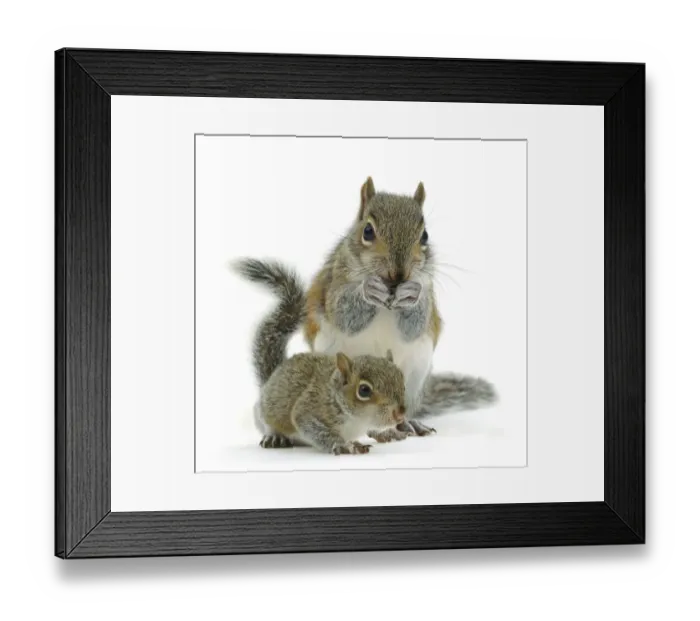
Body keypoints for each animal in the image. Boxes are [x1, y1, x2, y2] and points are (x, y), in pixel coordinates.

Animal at [233, 258, 408, 455]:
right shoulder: (309, 408)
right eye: (364, 390)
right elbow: (314, 429)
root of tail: (271, 378)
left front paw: (379, 436)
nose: (400, 414)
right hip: (266, 410)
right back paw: (274, 436)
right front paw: (343, 445)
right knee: (268, 423)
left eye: (403, 384)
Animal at [302, 177, 497, 440]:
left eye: (425, 236)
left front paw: (412, 294)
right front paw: (368, 289)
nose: (399, 273)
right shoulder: (334, 282)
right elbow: (342, 314)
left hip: (416, 374)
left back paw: (405, 424)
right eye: (367, 231)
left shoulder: (427, 286)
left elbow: (415, 324)